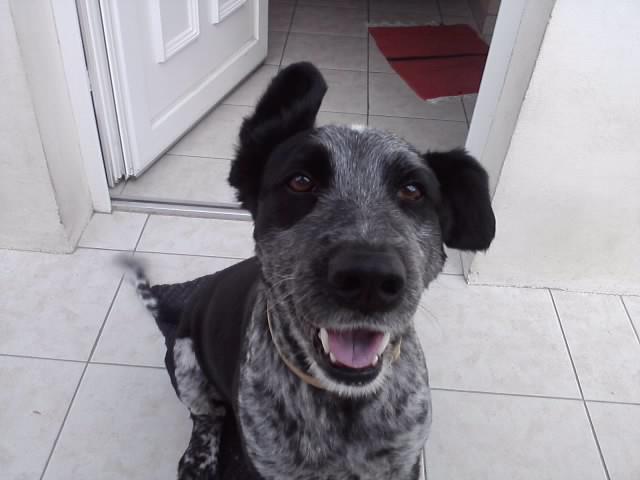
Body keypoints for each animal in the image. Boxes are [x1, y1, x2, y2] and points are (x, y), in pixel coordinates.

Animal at [127, 62, 495, 479]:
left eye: (413, 190)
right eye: (301, 181)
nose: (368, 278)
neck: (345, 404)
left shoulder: (403, 463)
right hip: (186, 358)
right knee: (207, 414)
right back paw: (198, 458)